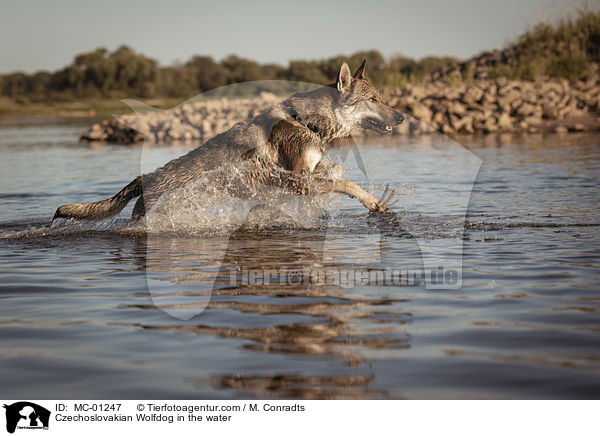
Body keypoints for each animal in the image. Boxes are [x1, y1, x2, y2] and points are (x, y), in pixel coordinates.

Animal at [54, 60, 406, 221]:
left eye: (382, 97)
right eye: (373, 100)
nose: (403, 117)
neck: (308, 120)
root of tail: (145, 177)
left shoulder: (303, 175)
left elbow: (337, 173)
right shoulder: (297, 180)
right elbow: (346, 183)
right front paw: (374, 201)